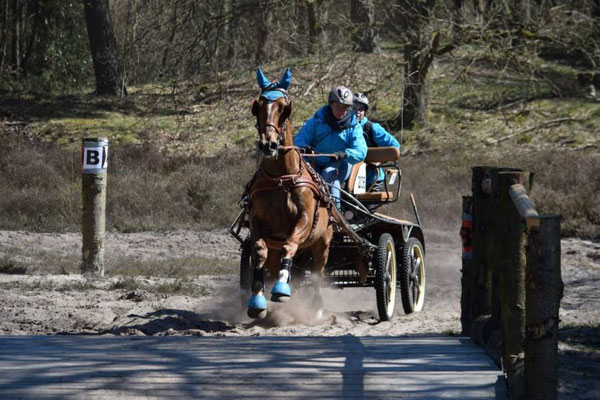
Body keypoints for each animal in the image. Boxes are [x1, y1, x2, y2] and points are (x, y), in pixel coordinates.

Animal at [246, 69, 336, 318]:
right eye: (258, 106)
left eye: (284, 107)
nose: (268, 144)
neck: (281, 178)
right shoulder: (258, 222)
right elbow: (259, 252)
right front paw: (257, 299)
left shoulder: (304, 219)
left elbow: (290, 244)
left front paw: (281, 288)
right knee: (273, 261)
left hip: (323, 242)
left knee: (317, 271)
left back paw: (316, 306)